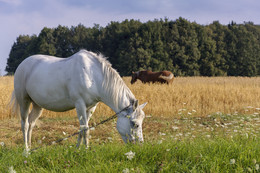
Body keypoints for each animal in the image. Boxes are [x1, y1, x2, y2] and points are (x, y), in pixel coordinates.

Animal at [10, 49, 146, 151]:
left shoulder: (91, 108)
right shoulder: (79, 104)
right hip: (24, 101)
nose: (140, 145)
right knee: (25, 124)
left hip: (37, 106)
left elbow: (82, 129)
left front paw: (77, 149)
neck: (92, 75)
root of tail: (22, 64)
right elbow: (85, 129)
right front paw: (86, 150)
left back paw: (30, 148)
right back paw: (26, 151)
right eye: (135, 124)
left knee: (31, 123)